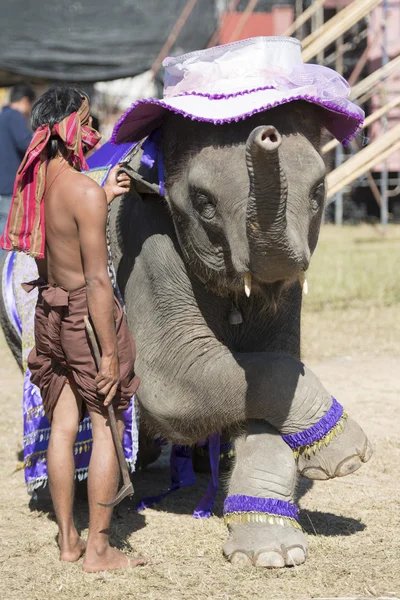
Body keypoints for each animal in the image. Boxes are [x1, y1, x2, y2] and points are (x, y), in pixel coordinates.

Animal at [108, 101, 374, 568]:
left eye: (318, 192)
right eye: (203, 204)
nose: (266, 134)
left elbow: (274, 371)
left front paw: (272, 553)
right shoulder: (144, 249)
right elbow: (167, 381)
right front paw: (347, 456)